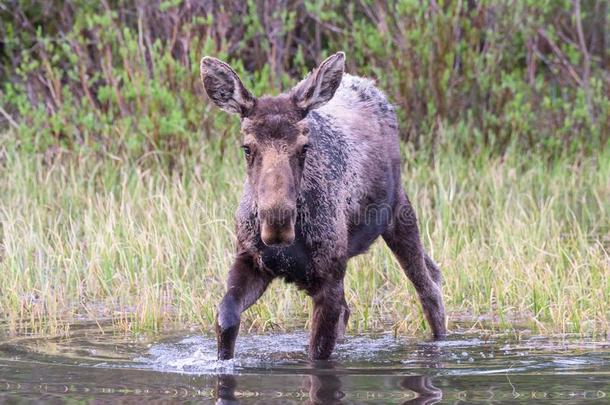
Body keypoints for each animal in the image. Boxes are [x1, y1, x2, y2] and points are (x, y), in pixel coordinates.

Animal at [202, 51, 444, 360]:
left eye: (304, 147)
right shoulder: (250, 259)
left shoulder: (329, 278)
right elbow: (226, 319)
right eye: (247, 148)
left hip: (399, 212)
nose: (277, 222)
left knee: (429, 289)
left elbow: (318, 354)